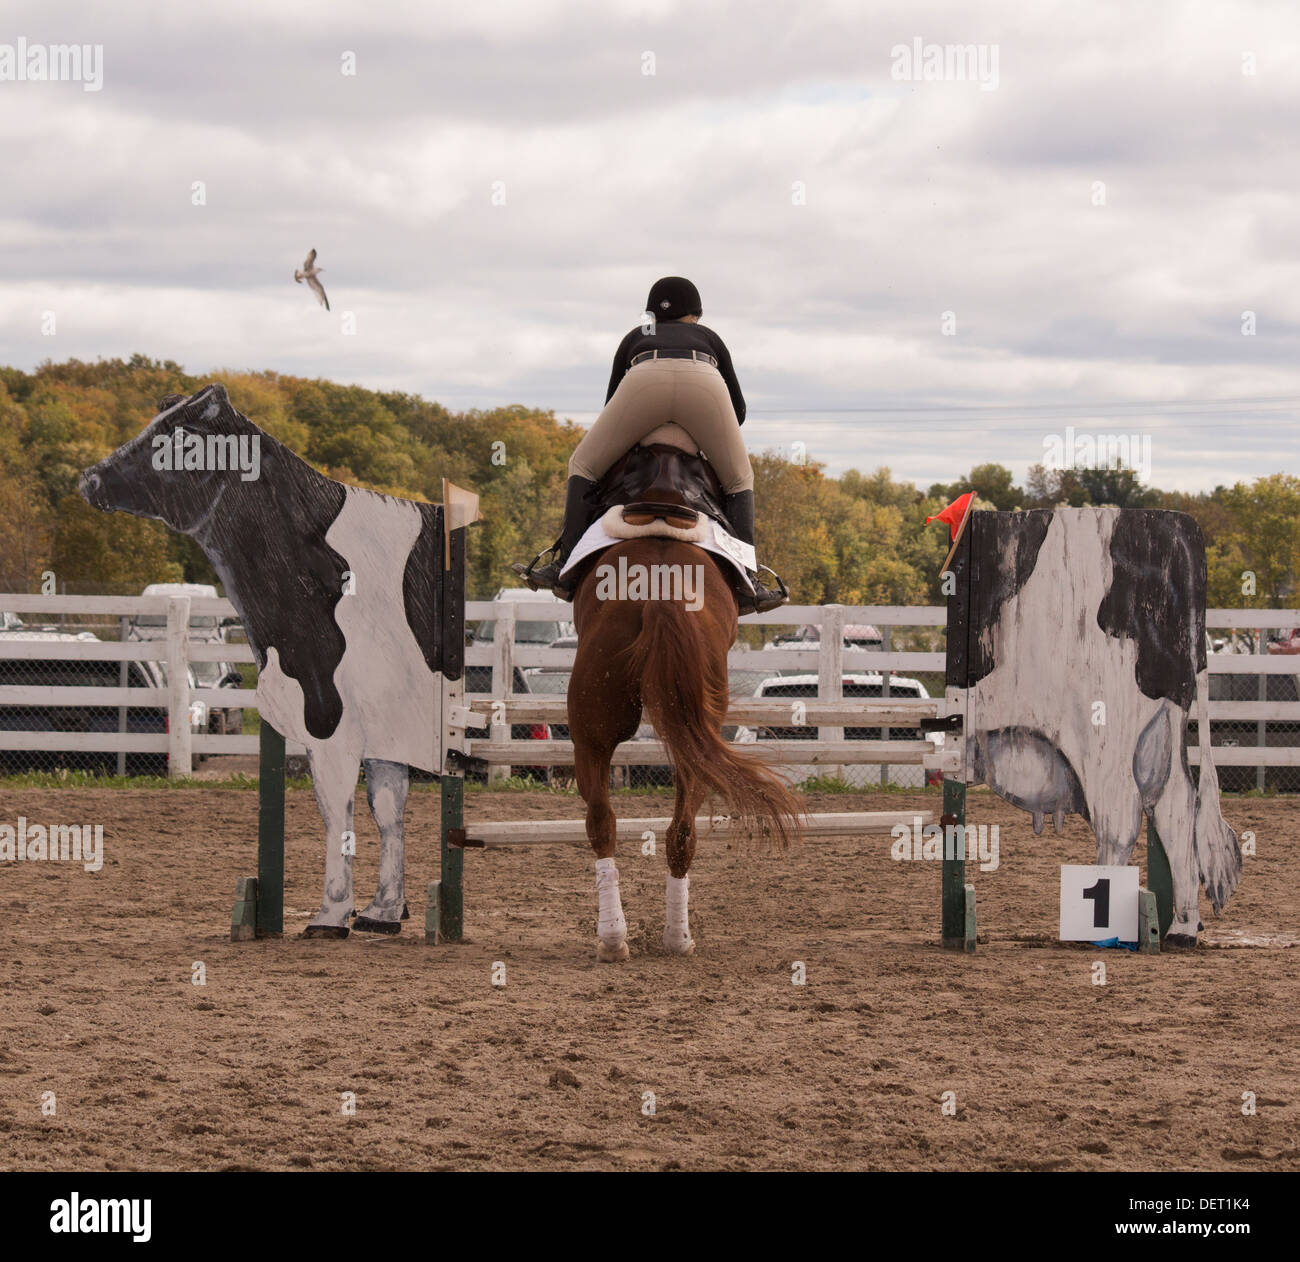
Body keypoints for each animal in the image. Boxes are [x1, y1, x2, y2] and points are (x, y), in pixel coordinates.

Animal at [566, 441, 800, 956]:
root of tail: (662, 590)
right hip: (688, 727)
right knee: (670, 827)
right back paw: (667, 937)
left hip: (591, 734)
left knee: (603, 821)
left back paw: (619, 937)